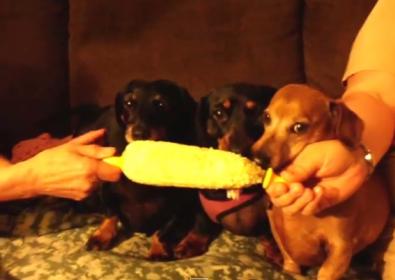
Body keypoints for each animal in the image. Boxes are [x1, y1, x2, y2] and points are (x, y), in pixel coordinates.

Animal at [84, 79, 218, 260]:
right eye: (129, 103)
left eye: (161, 104)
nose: (139, 133)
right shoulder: (107, 190)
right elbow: (111, 214)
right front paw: (101, 236)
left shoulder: (179, 209)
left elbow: (161, 232)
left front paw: (158, 250)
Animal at [252, 84, 388, 280]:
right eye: (267, 117)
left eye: (299, 127)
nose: (257, 159)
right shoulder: (278, 232)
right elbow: (289, 261)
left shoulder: (340, 249)